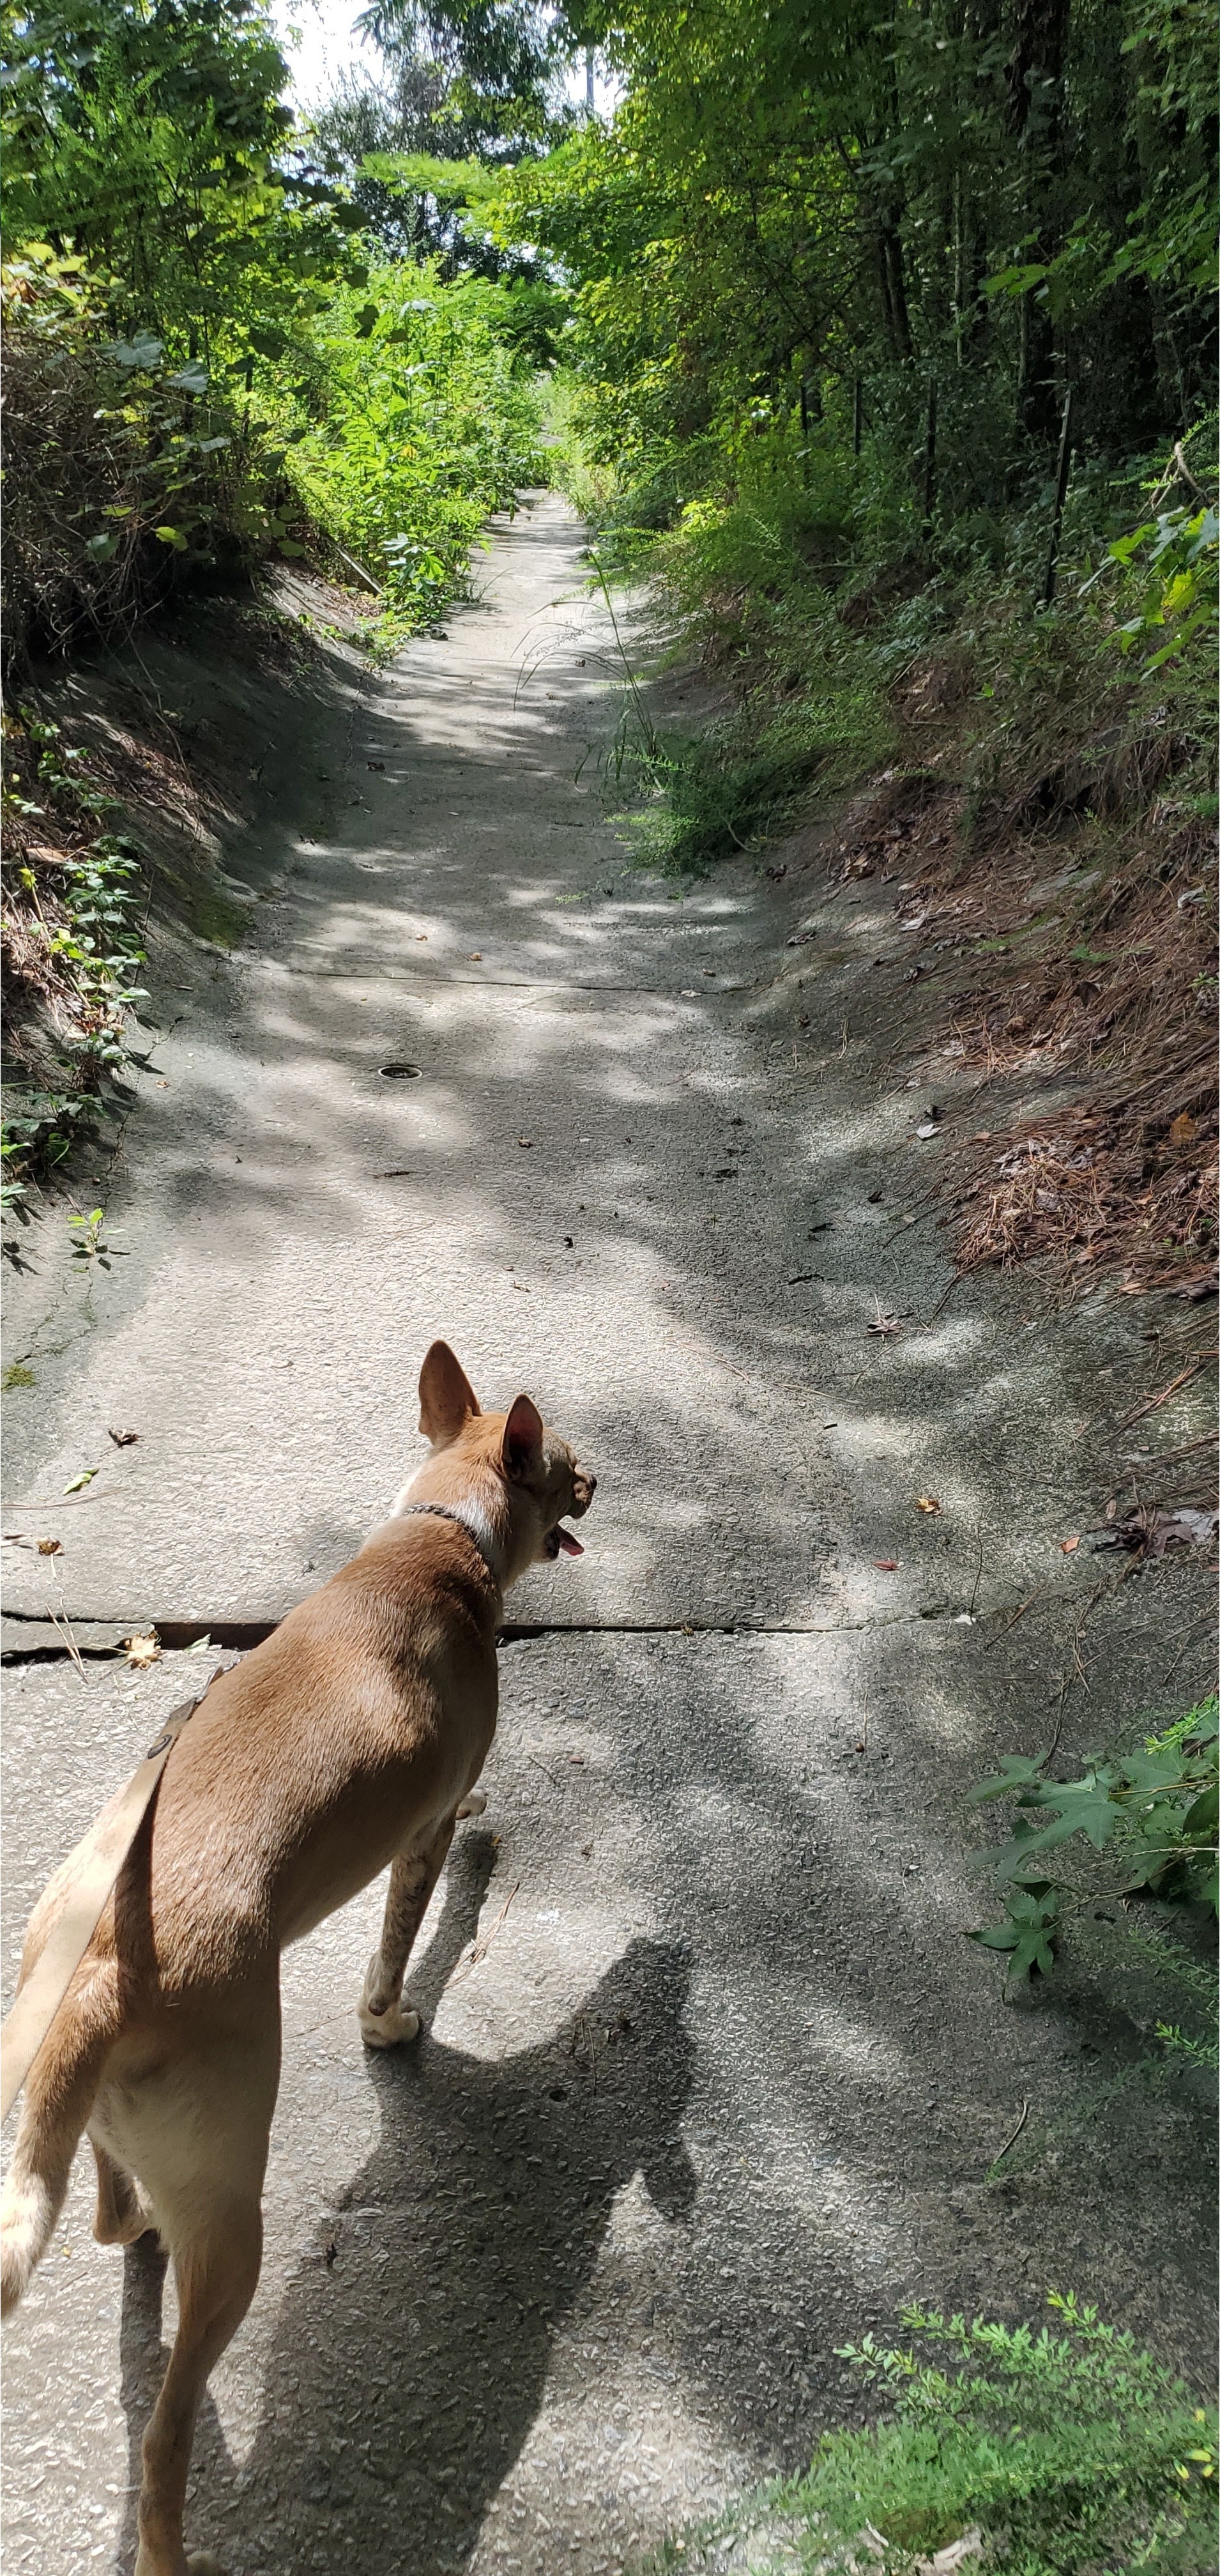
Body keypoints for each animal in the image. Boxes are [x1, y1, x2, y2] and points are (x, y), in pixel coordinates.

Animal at [0, 1349, 594, 2576]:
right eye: (567, 1464)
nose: (602, 1482)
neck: (440, 1535)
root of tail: (102, 1977)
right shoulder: (419, 1835)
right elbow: (407, 1943)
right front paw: (393, 2021)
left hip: (90, 2102)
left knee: (106, 2212)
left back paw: (133, 2224)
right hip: (236, 2222)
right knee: (165, 2434)